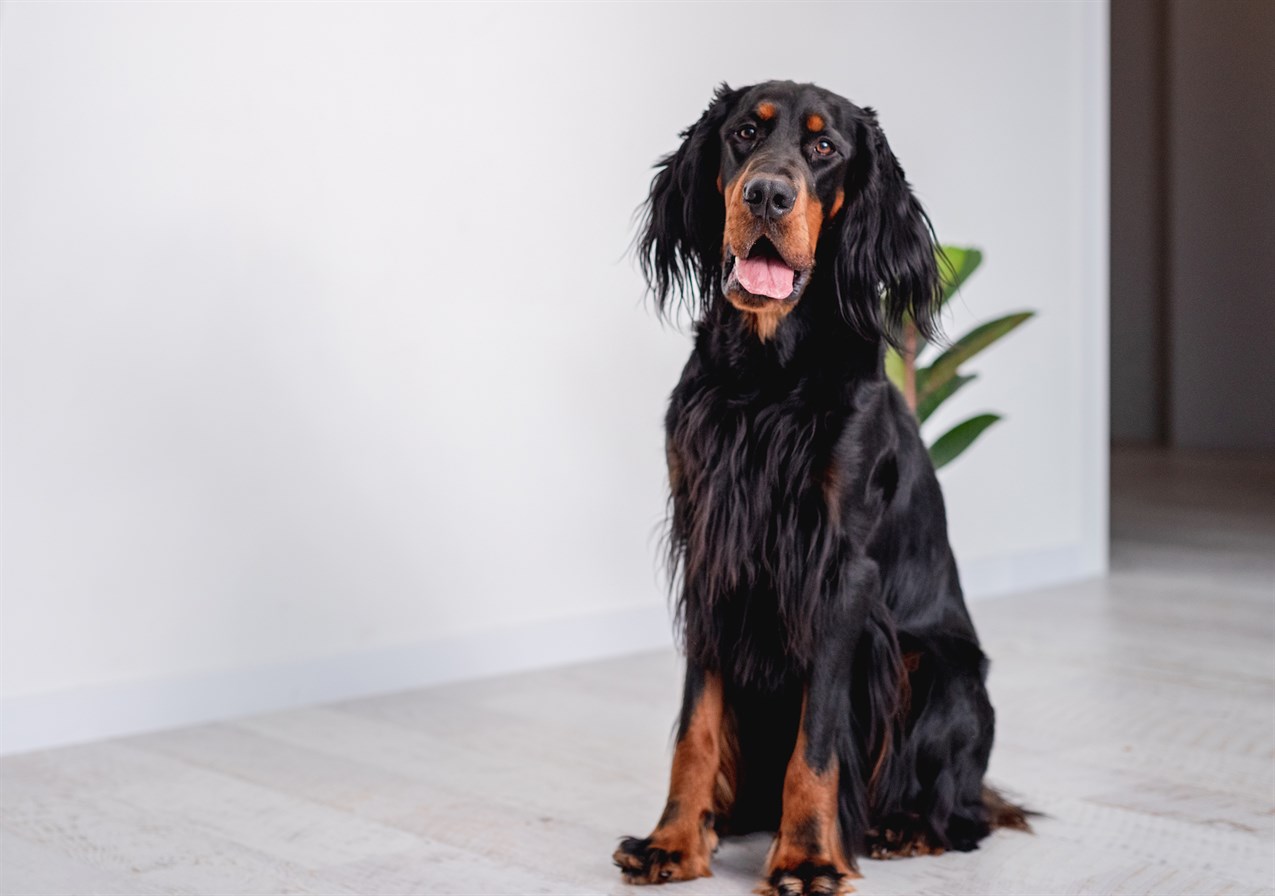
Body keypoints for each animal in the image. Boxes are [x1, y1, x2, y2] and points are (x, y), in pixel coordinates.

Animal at [614, 82, 1025, 896]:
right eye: (744, 133)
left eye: (825, 147)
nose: (767, 195)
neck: (766, 377)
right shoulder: (713, 551)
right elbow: (695, 726)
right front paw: (673, 840)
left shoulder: (840, 570)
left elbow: (820, 739)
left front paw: (806, 857)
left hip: (939, 672)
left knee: (969, 811)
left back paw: (904, 827)